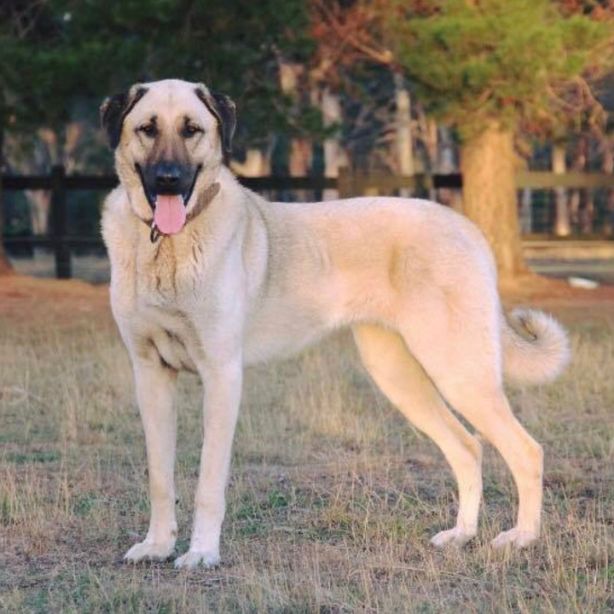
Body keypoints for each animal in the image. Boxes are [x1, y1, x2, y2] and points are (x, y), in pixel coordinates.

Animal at [102, 79, 572, 572]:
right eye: (148, 129)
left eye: (191, 129)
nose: (168, 179)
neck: (164, 246)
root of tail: (468, 227)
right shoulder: (151, 374)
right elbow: (160, 477)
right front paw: (157, 545)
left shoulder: (222, 375)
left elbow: (209, 483)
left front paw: (202, 552)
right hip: (399, 376)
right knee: (467, 447)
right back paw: (461, 535)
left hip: (458, 371)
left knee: (525, 449)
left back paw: (522, 538)